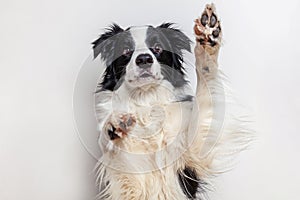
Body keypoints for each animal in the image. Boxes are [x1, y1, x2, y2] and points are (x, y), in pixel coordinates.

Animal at [92, 3, 251, 200]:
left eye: (157, 47)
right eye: (126, 50)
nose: (144, 59)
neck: (146, 100)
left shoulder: (191, 155)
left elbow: (204, 94)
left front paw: (208, 38)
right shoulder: (127, 176)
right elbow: (111, 145)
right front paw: (114, 124)